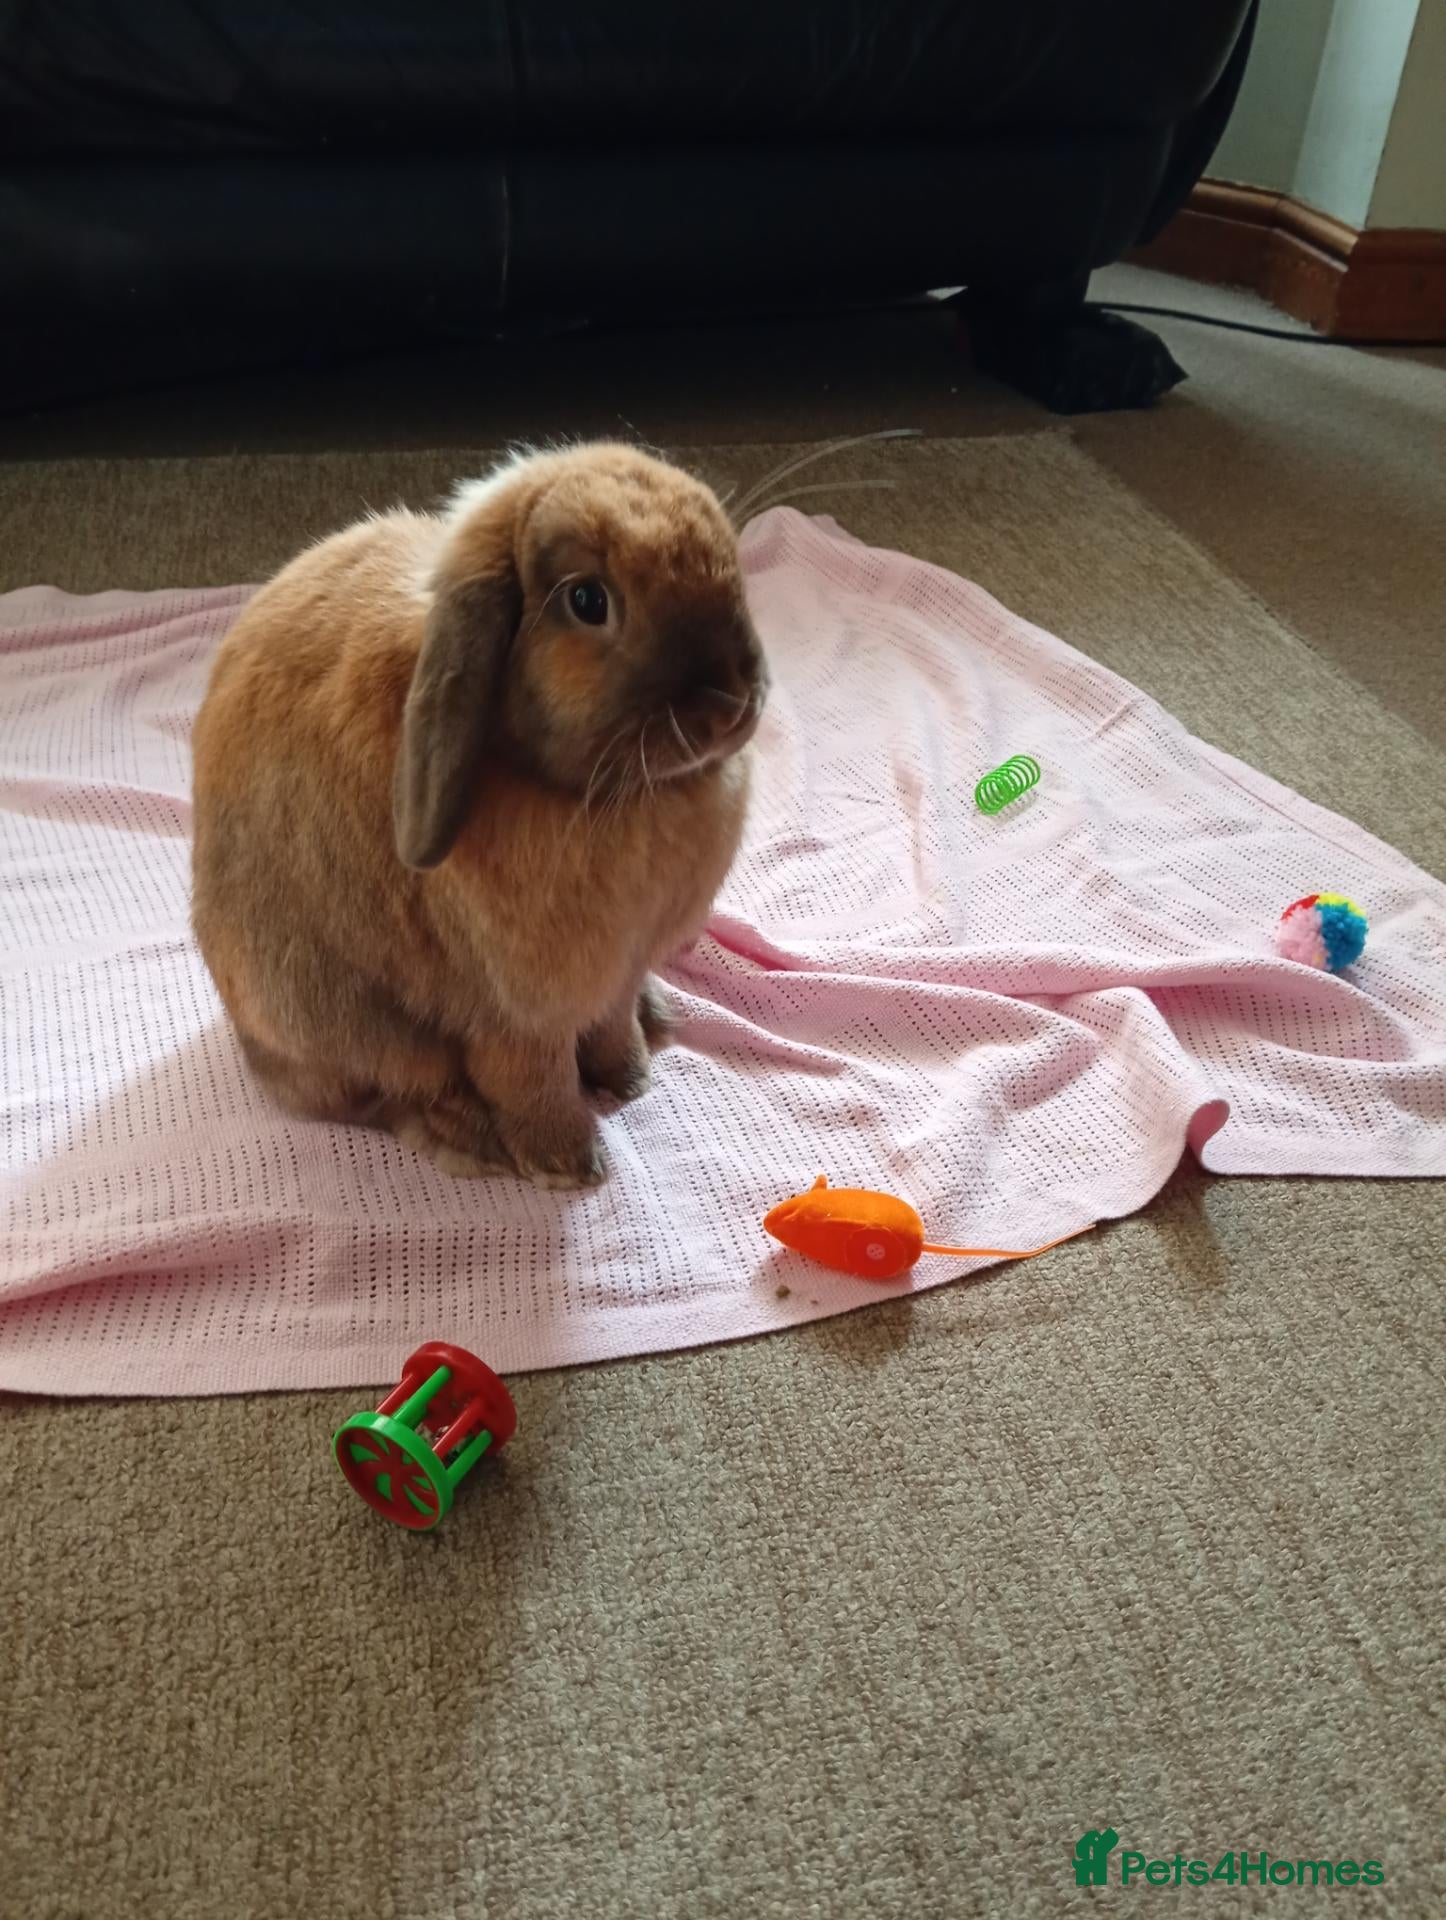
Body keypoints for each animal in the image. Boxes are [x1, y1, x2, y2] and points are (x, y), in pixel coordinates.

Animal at [191, 442, 767, 1188]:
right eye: (588, 600)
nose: (731, 705)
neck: (622, 797)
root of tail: (253, 1055)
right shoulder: (516, 1012)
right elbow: (530, 1078)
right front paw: (569, 1166)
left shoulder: (615, 975)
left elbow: (612, 1025)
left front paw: (631, 1079)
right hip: (323, 1014)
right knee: (383, 1092)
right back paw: (466, 1138)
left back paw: (656, 1018)